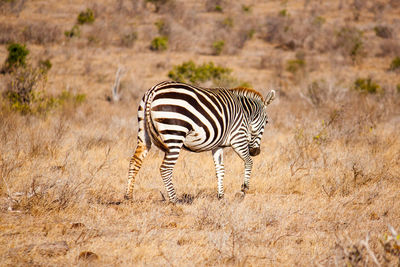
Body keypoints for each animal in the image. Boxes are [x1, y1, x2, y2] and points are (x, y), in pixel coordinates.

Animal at [125, 81, 276, 203]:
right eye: (267, 122)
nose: (256, 152)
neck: (245, 113)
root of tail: (153, 90)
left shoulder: (218, 146)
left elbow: (220, 170)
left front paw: (221, 196)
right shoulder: (238, 138)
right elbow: (249, 162)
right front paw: (243, 191)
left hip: (143, 133)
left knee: (135, 161)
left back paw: (128, 197)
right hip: (175, 133)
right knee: (165, 168)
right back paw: (175, 200)